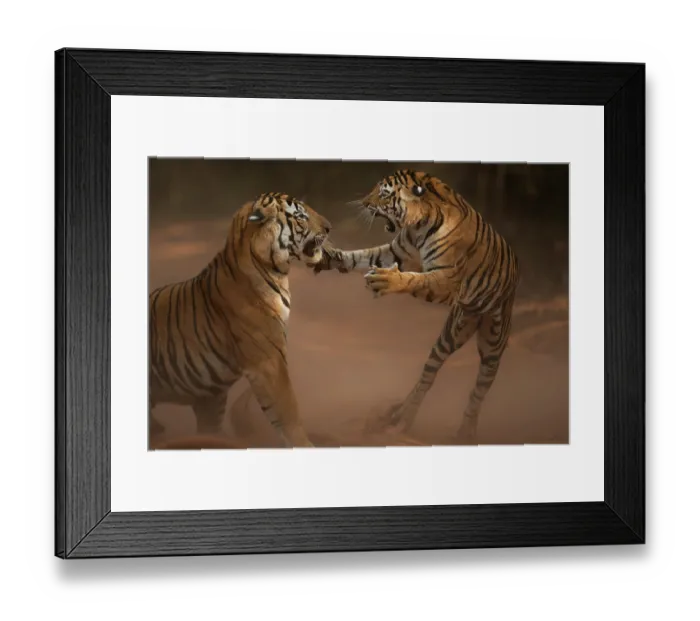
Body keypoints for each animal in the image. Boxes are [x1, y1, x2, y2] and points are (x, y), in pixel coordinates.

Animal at [149, 192, 332, 449]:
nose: (329, 227)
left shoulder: (210, 398)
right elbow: (288, 411)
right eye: (300, 216)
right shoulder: (269, 362)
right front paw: (305, 445)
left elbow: (209, 431)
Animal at [313, 170, 520, 444]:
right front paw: (329, 256)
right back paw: (399, 417)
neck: (420, 225)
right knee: (426, 378)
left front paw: (386, 280)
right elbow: (360, 255)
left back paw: (464, 432)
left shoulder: (445, 279)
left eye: (383, 193)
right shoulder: (396, 252)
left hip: (492, 347)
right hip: (449, 337)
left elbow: (413, 279)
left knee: (477, 392)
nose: (364, 203)